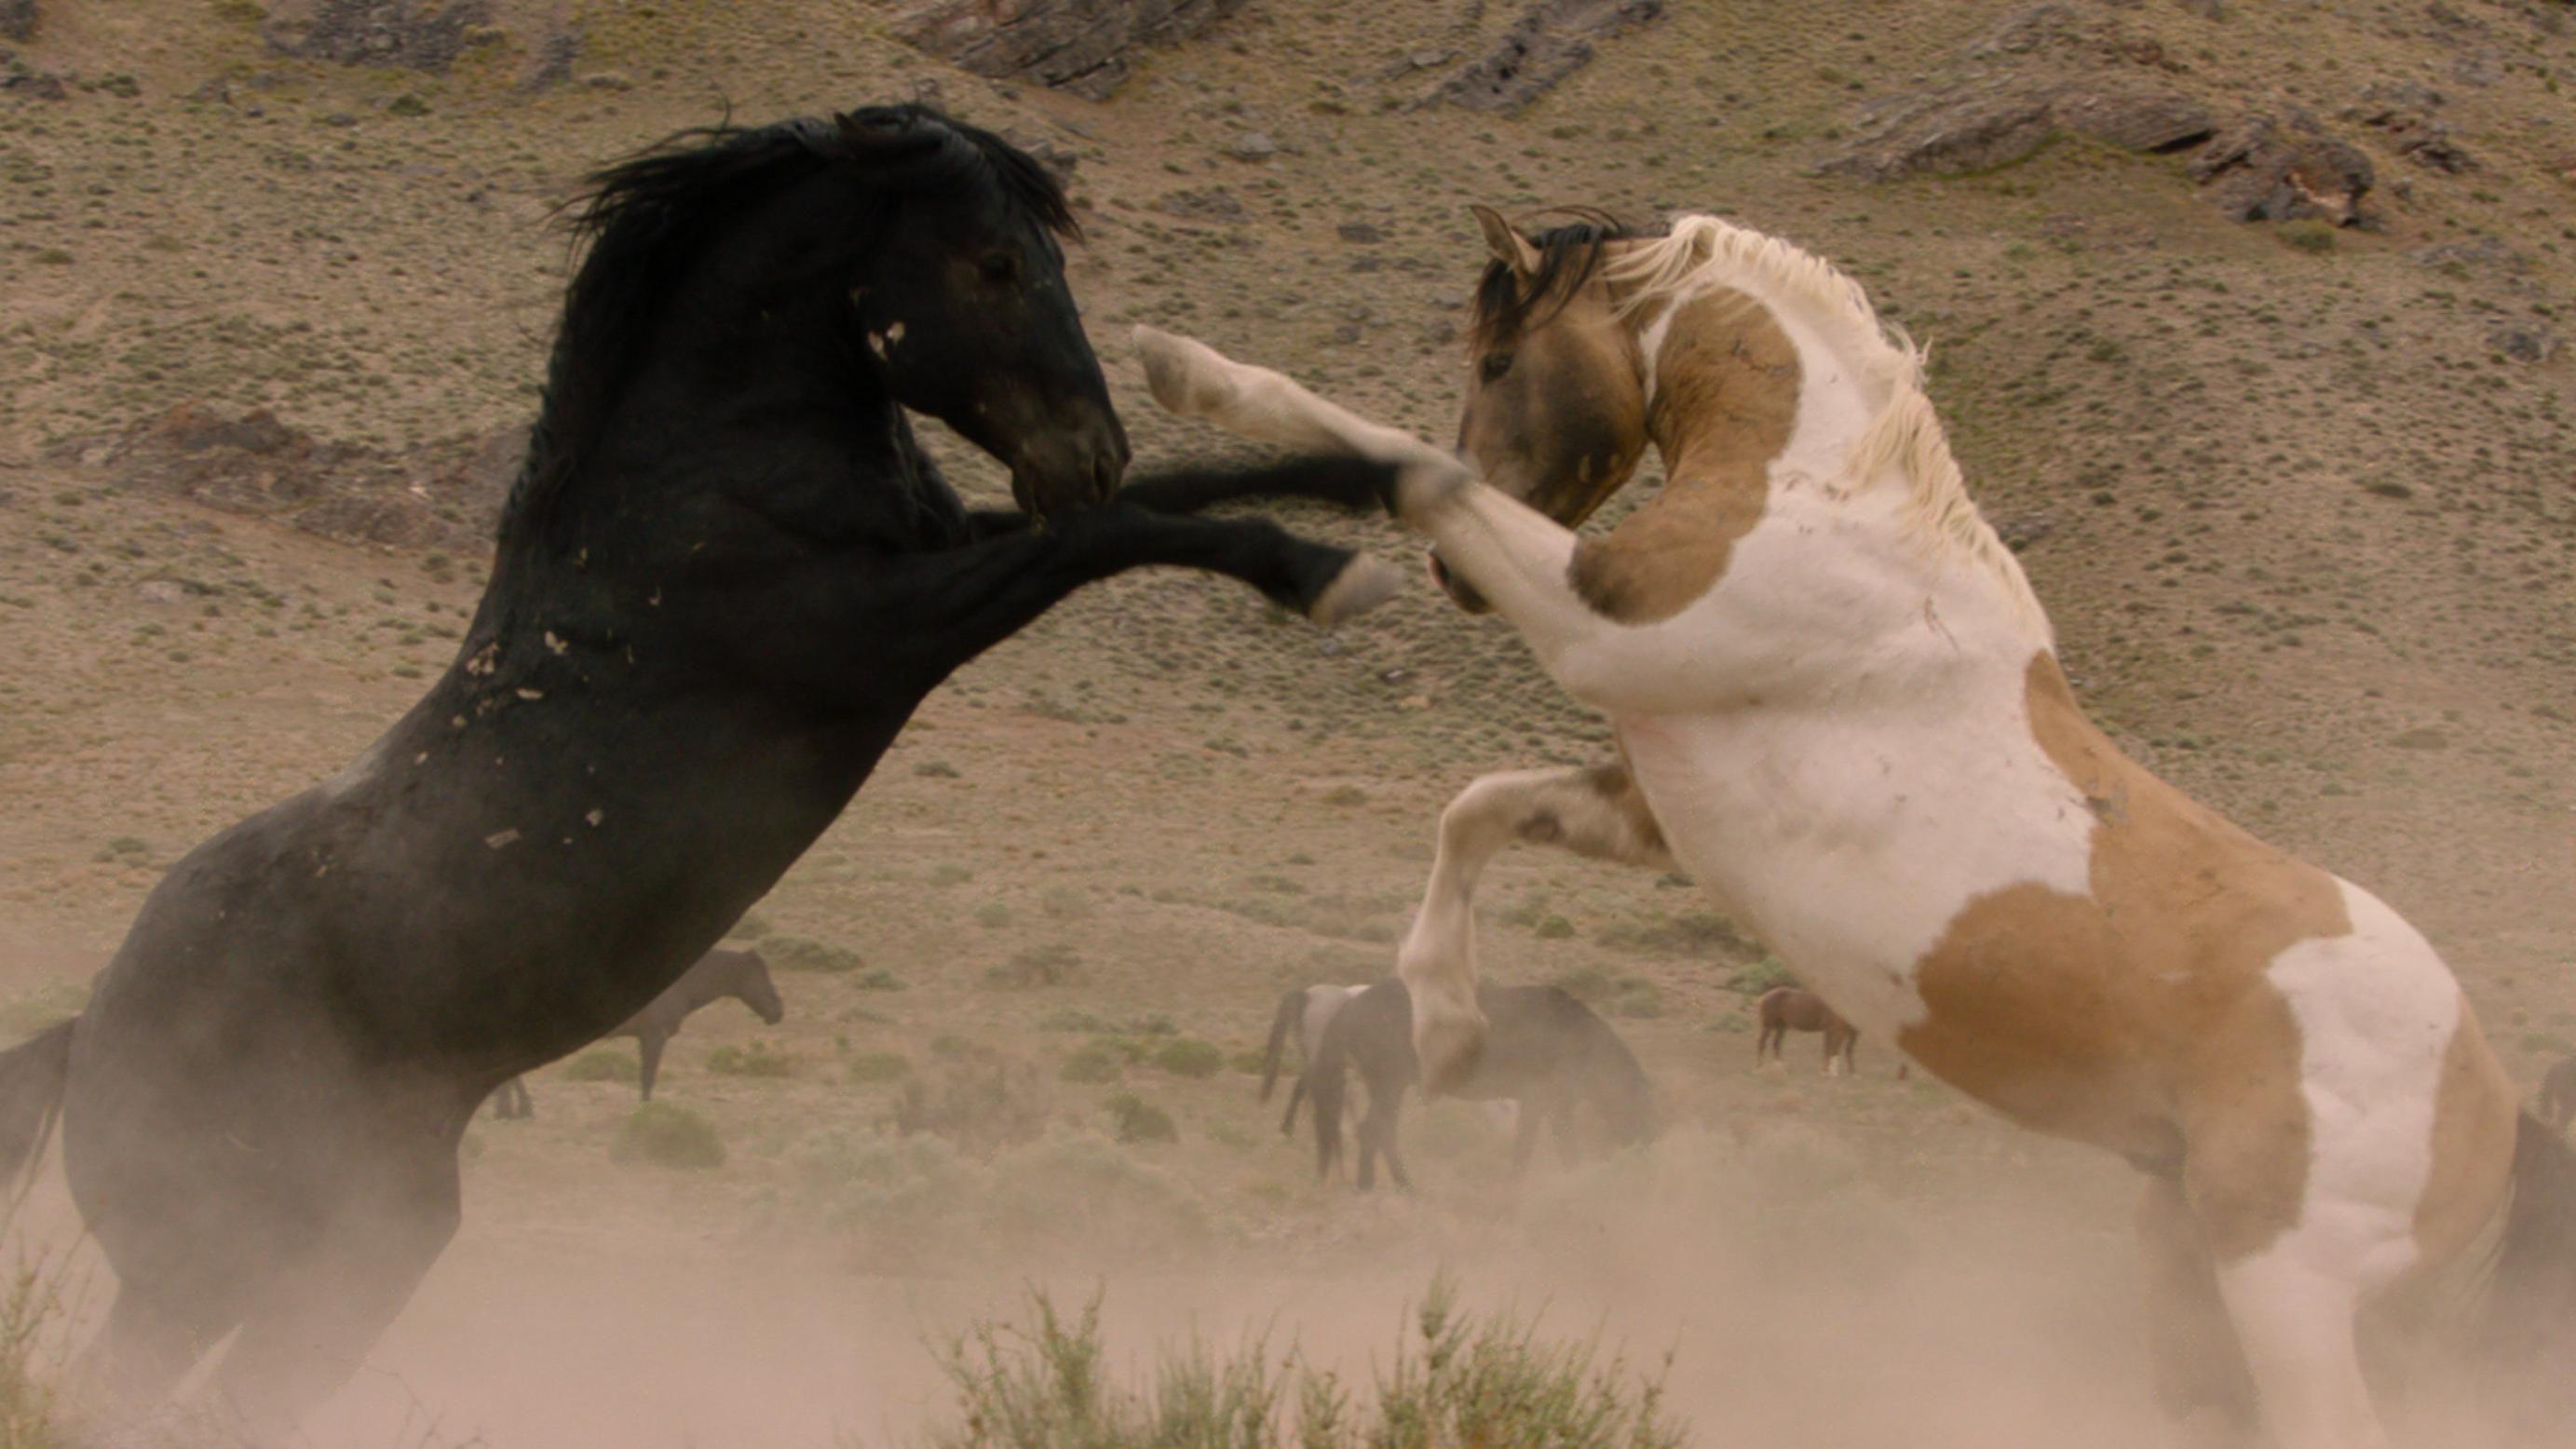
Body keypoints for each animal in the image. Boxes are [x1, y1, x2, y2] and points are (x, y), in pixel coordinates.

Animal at [486, 947, 778, 1117]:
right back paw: (518, 1109)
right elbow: (648, 1076)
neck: (679, 983)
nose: (779, 1010)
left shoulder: (645, 1038)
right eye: (763, 975)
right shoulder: (654, 1036)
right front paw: (647, 1113)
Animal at [1308, 982, 1648, 1194]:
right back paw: (1397, 1189)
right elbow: (1551, 1149)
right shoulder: (1548, 1102)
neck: (1577, 1035)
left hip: (1390, 1086)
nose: (1645, 1156)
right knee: (1374, 1130)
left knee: (1380, 1131)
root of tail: (1351, 1006)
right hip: (1389, 1083)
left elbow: (1533, 1148)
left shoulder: (1541, 1104)